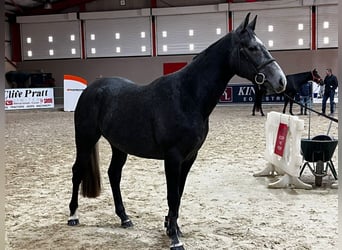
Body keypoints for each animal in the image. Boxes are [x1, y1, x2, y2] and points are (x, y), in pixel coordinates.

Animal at [67, 13, 286, 250]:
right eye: (252, 48)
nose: (280, 80)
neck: (187, 96)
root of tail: (91, 89)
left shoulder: (189, 158)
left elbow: (179, 194)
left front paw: (173, 227)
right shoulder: (173, 157)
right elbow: (172, 195)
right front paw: (174, 238)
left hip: (119, 146)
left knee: (114, 174)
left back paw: (125, 218)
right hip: (85, 139)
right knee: (77, 171)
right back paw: (73, 216)